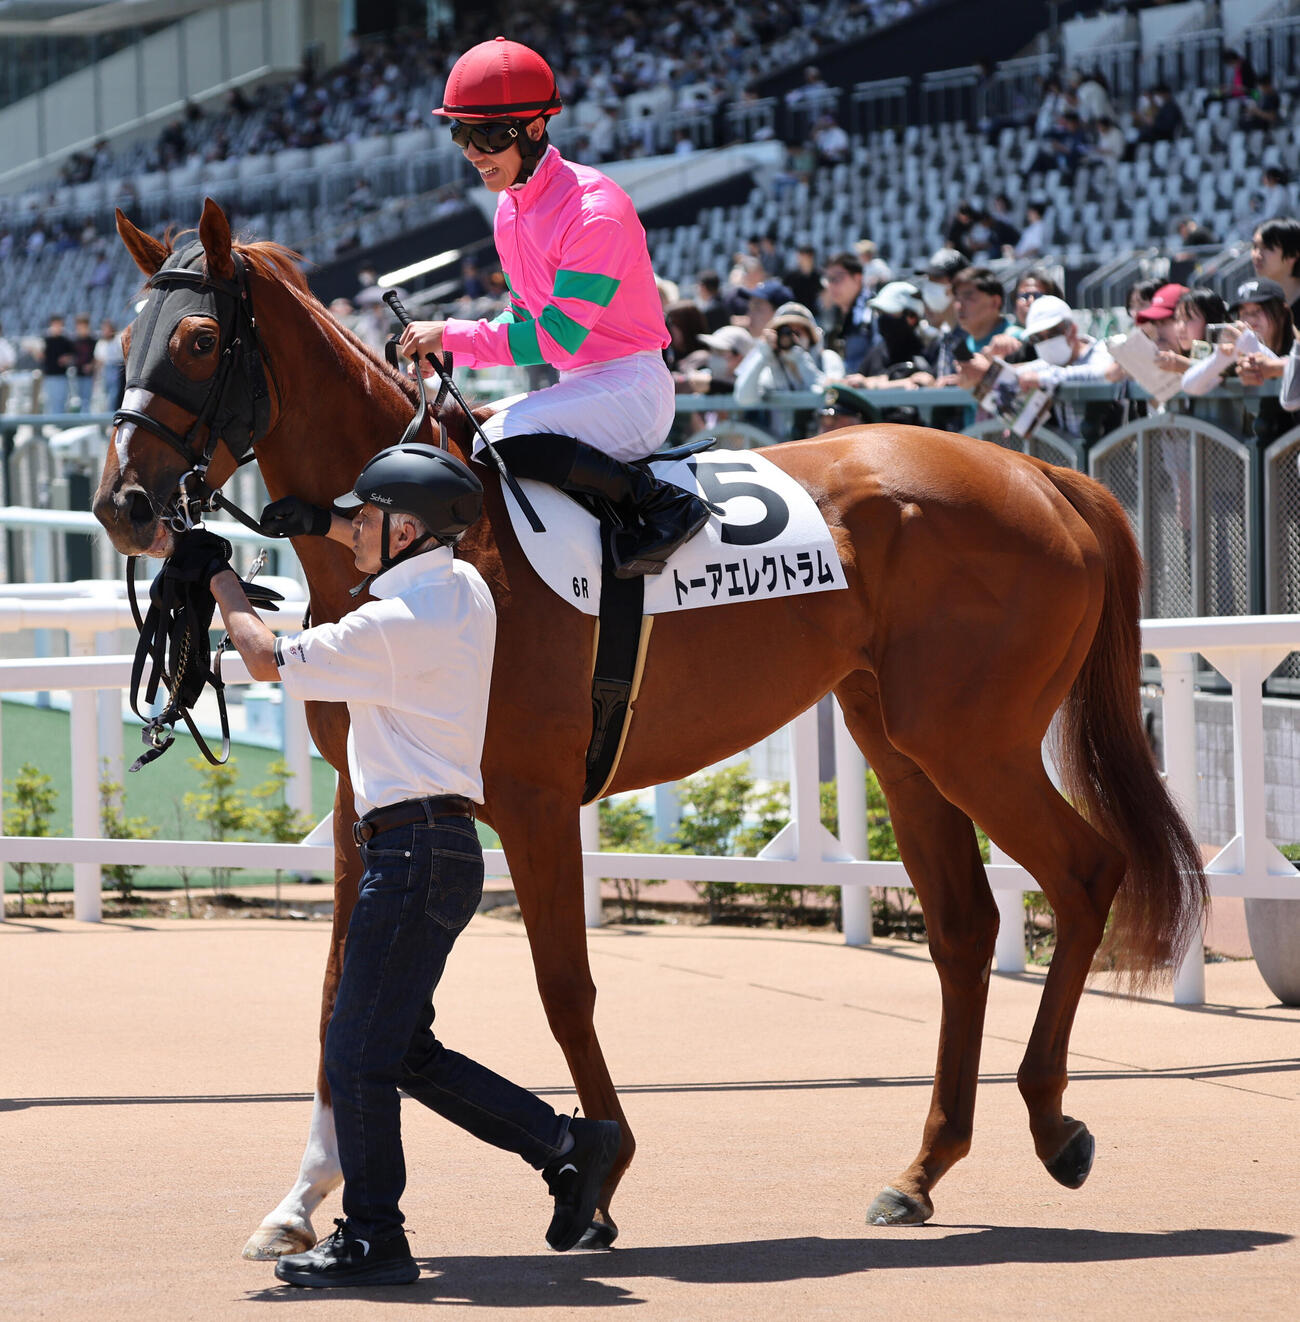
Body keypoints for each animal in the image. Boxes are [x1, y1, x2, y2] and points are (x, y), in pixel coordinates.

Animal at [93, 200, 1207, 1254]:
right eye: (124, 340)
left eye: (199, 339)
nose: (123, 505)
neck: (439, 545)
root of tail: (1044, 476)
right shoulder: (359, 799)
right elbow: (340, 999)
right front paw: (297, 1203)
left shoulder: (534, 800)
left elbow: (562, 985)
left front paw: (598, 1172)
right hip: (898, 740)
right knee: (966, 924)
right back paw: (922, 1168)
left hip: (976, 739)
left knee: (1085, 872)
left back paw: (1054, 1123)